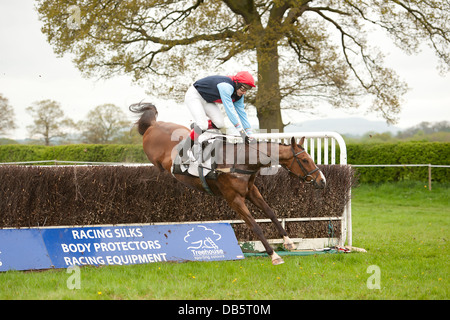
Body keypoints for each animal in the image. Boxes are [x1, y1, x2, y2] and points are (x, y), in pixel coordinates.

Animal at [128, 102, 326, 264]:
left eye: (310, 158)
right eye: (305, 160)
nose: (322, 181)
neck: (241, 161)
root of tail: (153, 125)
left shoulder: (251, 191)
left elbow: (270, 212)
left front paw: (288, 241)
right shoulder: (234, 199)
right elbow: (254, 225)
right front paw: (274, 255)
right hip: (155, 159)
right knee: (158, 168)